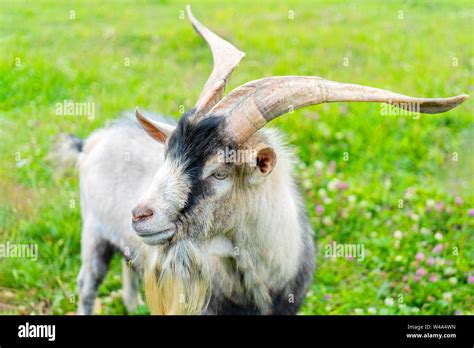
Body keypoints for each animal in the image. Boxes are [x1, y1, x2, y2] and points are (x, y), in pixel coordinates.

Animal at [53, 6, 468, 316]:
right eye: (167, 155)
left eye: (220, 172)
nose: (141, 215)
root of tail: (93, 139)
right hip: (93, 232)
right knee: (87, 286)